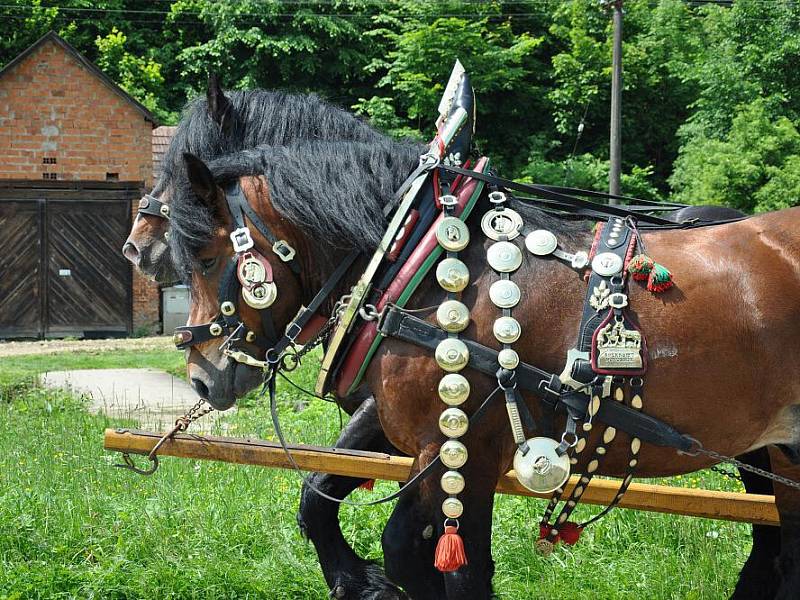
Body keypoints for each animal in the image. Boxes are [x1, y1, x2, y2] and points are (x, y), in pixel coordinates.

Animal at [172, 142, 800, 600]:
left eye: (204, 257)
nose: (202, 376)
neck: (417, 264)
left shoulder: (465, 448)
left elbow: (437, 560)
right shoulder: (424, 443)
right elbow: (370, 524)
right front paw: (362, 582)